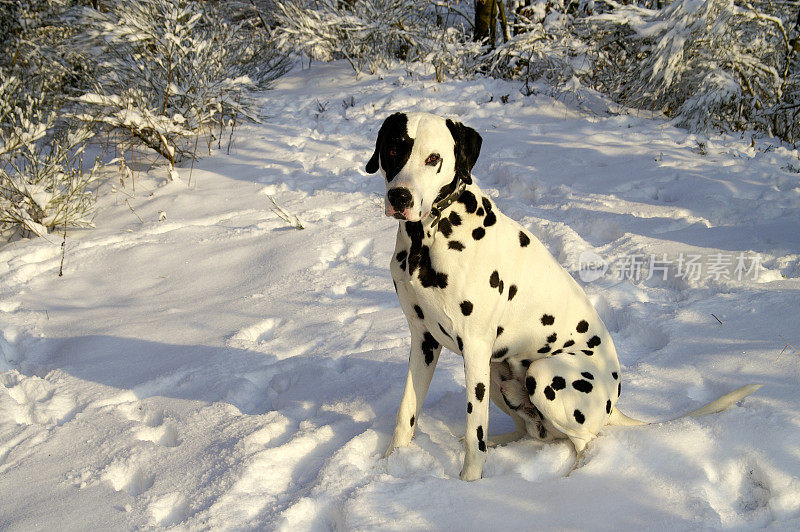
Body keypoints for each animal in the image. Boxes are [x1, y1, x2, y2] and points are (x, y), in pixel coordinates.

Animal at [368, 110, 764, 480]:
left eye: (433, 158)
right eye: (393, 149)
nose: (399, 196)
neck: (426, 241)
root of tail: (612, 406)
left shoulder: (476, 347)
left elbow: (473, 427)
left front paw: (468, 484)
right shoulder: (423, 341)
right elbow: (407, 412)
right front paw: (391, 465)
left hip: (544, 375)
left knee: (583, 441)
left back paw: (572, 478)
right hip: (498, 375)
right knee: (528, 431)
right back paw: (499, 443)